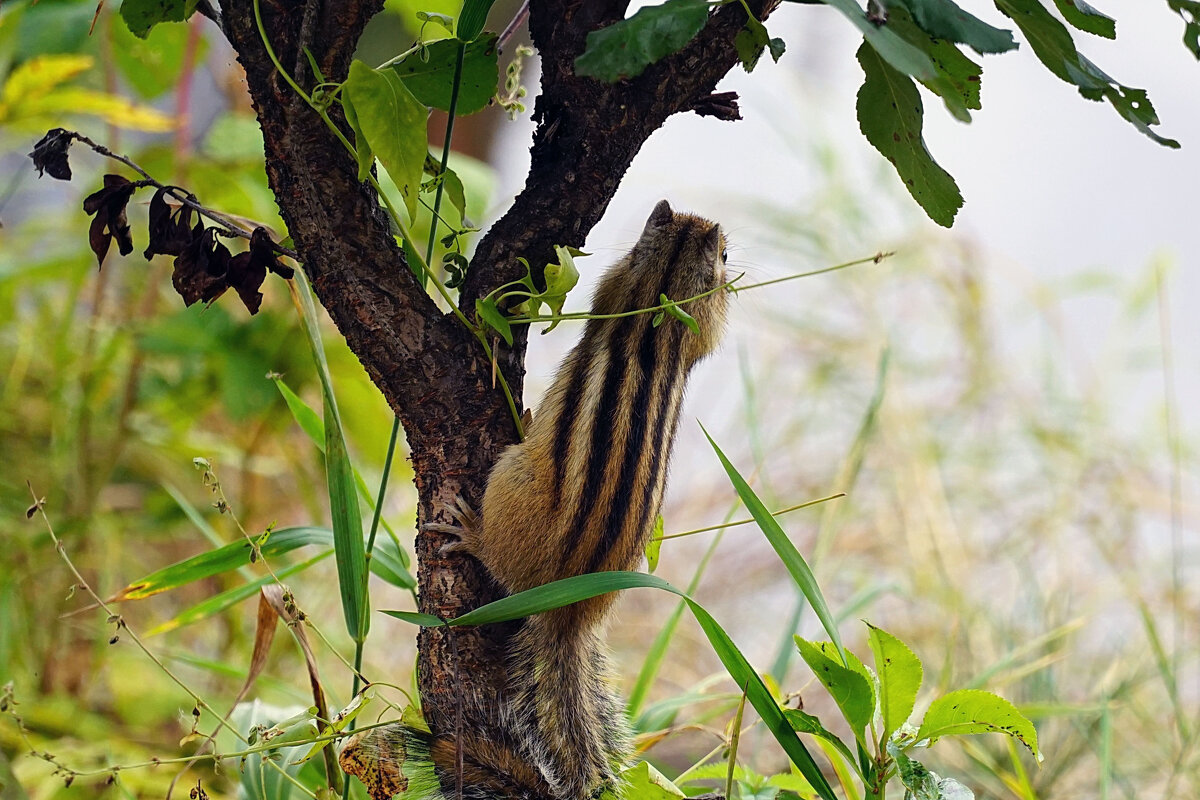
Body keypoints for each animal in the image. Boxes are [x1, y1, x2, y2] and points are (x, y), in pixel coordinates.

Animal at [352, 201, 729, 800]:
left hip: (508, 478)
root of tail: (567, 611)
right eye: (724, 253)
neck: (666, 293)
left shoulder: (618, 285)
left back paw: (469, 531)